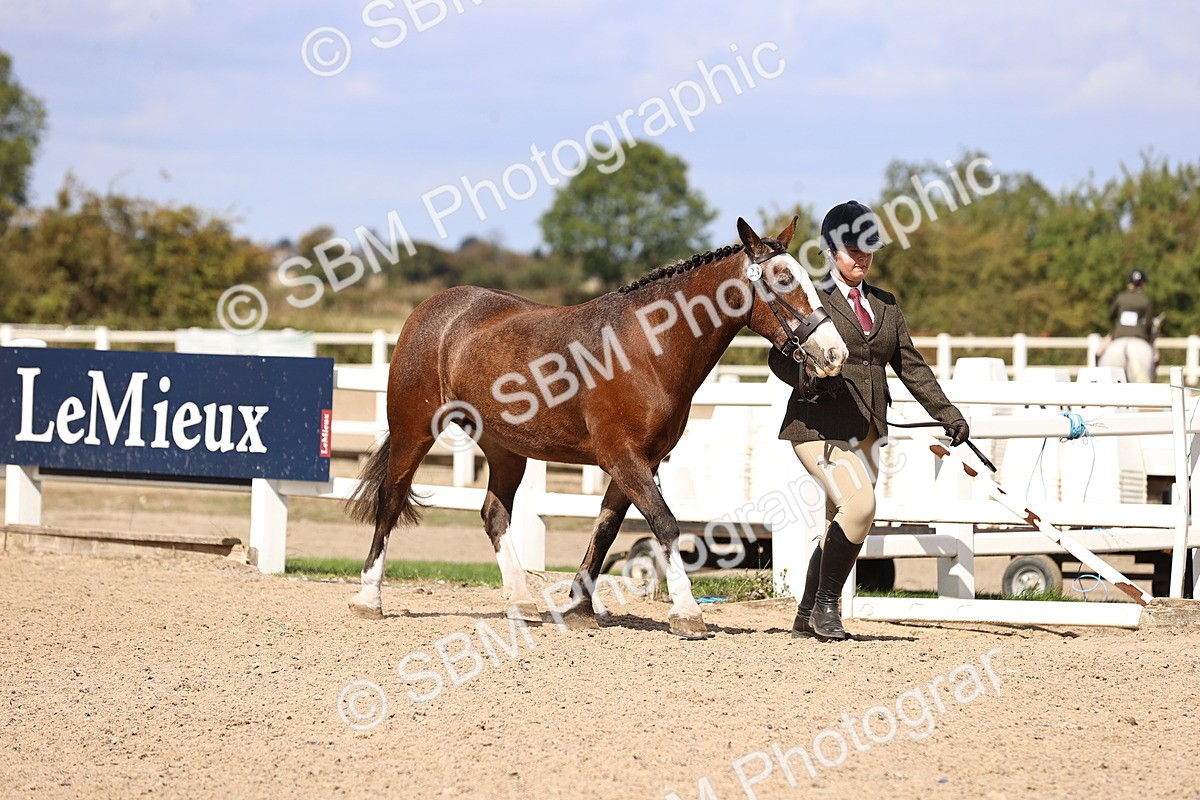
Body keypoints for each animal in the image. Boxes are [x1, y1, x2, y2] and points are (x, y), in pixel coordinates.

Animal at [344, 217, 849, 638]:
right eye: (784, 279)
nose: (835, 353)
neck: (647, 348)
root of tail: (433, 309)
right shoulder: (621, 456)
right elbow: (665, 524)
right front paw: (687, 613)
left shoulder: (641, 460)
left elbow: (606, 530)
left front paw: (580, 607)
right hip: (413, 431)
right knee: (391, 501)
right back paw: (369, 598)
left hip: (506, 449)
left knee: (494, 514)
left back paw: (521, 602)